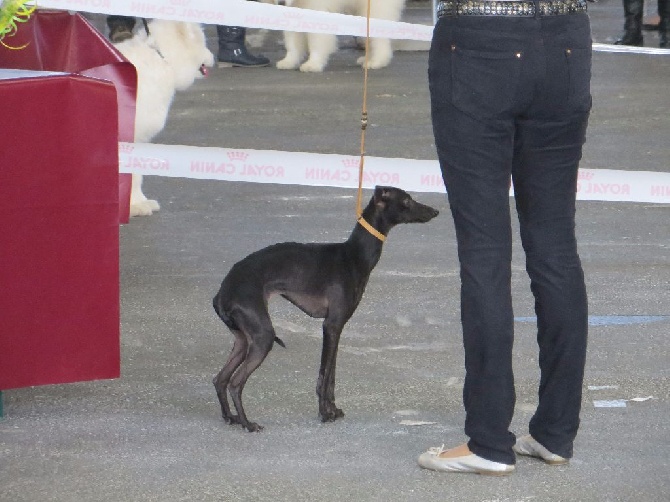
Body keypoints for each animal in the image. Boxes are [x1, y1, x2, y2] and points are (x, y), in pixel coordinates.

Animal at [211, 185, 440, 432]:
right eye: (406, 200)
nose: (435, 211)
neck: (354, 255)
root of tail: (223, 291)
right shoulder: (331, 325)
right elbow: (324, 375)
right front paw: (324, 413)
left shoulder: (337, 328)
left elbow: (331, 376)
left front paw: (333, 410)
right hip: (263, 336)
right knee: (235, 382)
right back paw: (248, 423)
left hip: (243, 339)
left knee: (220, 378)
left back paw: (230, 417)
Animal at [272, 0, 404, 72]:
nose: (281, 3)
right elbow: (292, 44)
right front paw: (288, 62)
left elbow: (316, 42)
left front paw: (312, 64)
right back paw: (368, 59)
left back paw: (377, 61)